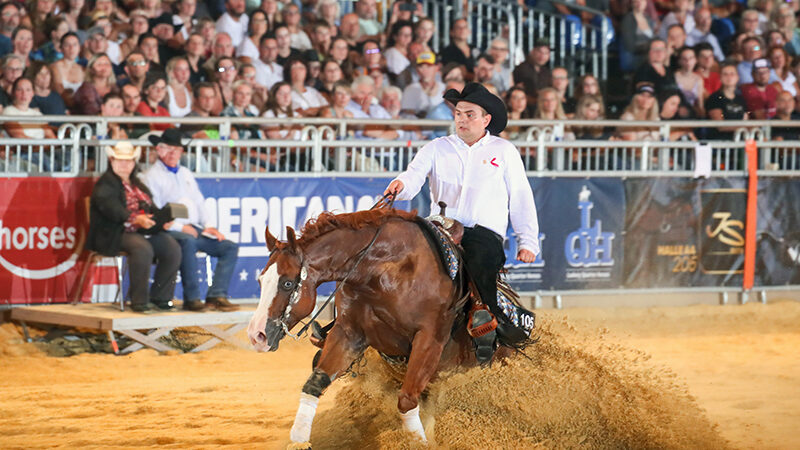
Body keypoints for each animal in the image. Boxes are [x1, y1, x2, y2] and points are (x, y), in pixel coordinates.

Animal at [247, 208, 504, 446]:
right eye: (260, 280)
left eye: (287, 283)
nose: (256, 335)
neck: (382, 270)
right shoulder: (348, 333)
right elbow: (314, 383)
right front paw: (299, 441)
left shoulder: (429, 339)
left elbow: (407, 400)